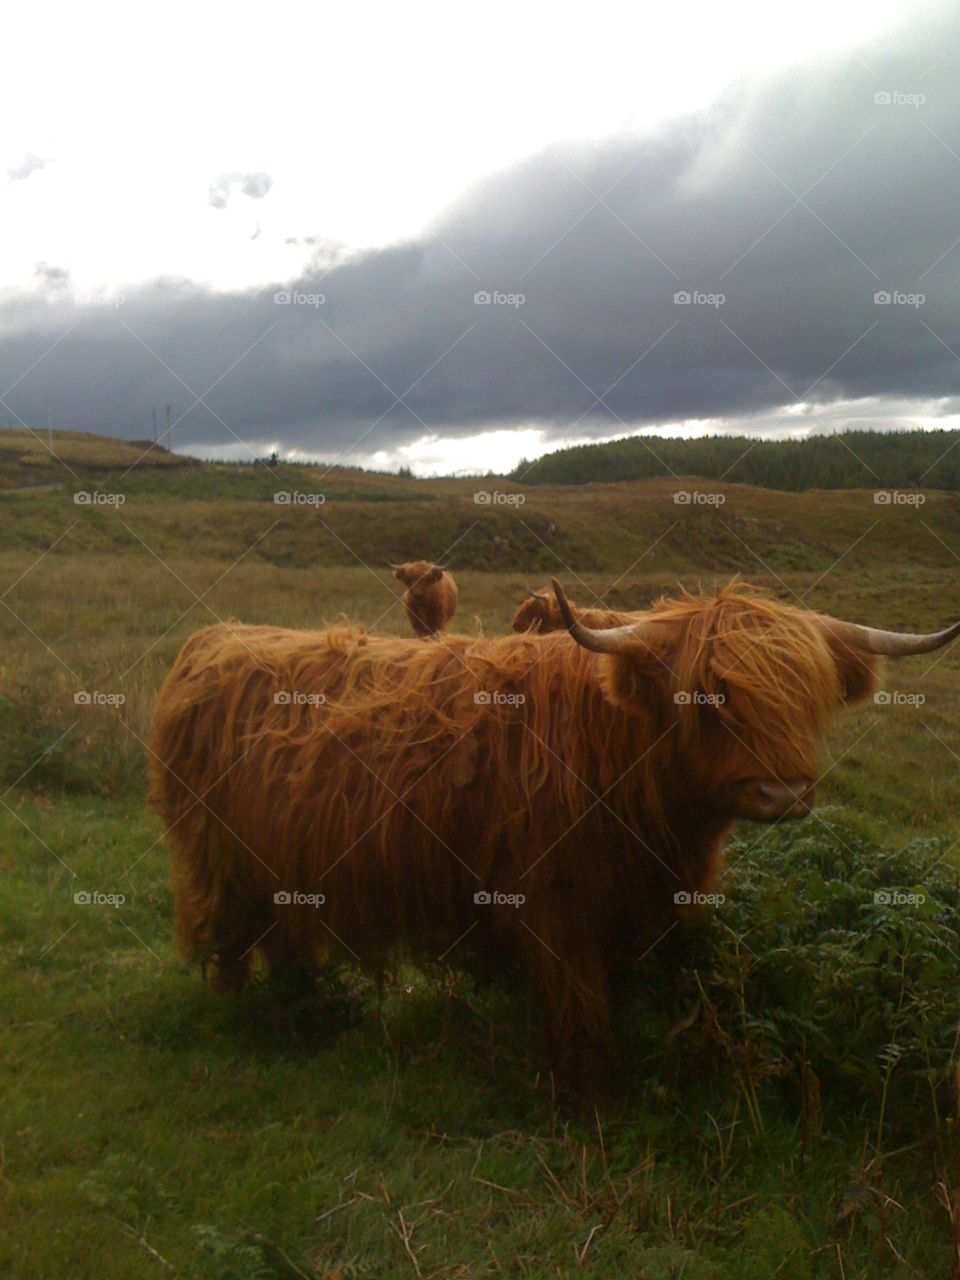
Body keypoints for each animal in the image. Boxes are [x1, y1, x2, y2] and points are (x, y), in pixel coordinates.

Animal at [149, 579, 960, 1098]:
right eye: (712, 696)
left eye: (810, 697)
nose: (784, 794)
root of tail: (210, 640)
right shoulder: (552, 903)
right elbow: (579, 1003)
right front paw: (588, 1091)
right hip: (223, 863)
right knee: (233, 944)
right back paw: (261, 1018)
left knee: (284, 941)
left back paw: (308, 1011)